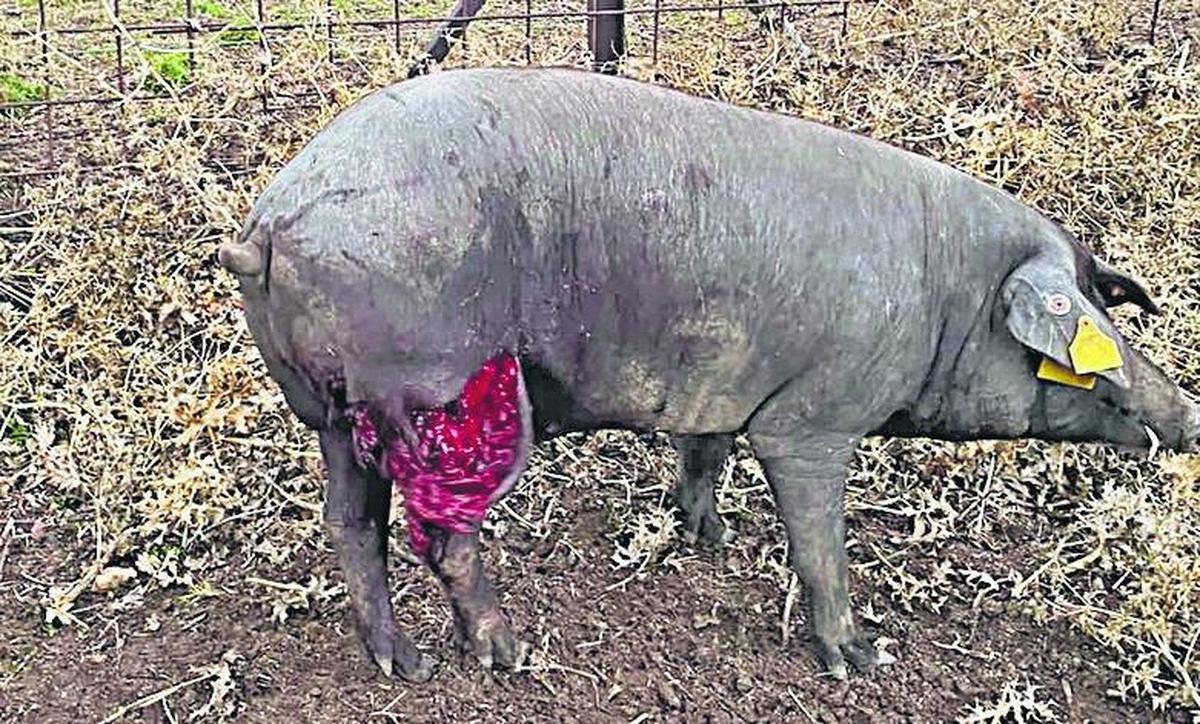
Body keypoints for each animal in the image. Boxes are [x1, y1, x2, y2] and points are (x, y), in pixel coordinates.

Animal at [218, 65, 1200, 681]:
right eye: (1096, 346)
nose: (1189, 416)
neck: (942, 300)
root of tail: (266, 226)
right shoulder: (813, 418)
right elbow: (819, 541)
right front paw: (861, 659)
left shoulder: (726, 377)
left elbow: (705, 450)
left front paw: (709, 538)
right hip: (439, 387)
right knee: (440, 536)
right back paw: (506, 656)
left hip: (335, 413)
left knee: (352, 525)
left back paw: (404, 665)